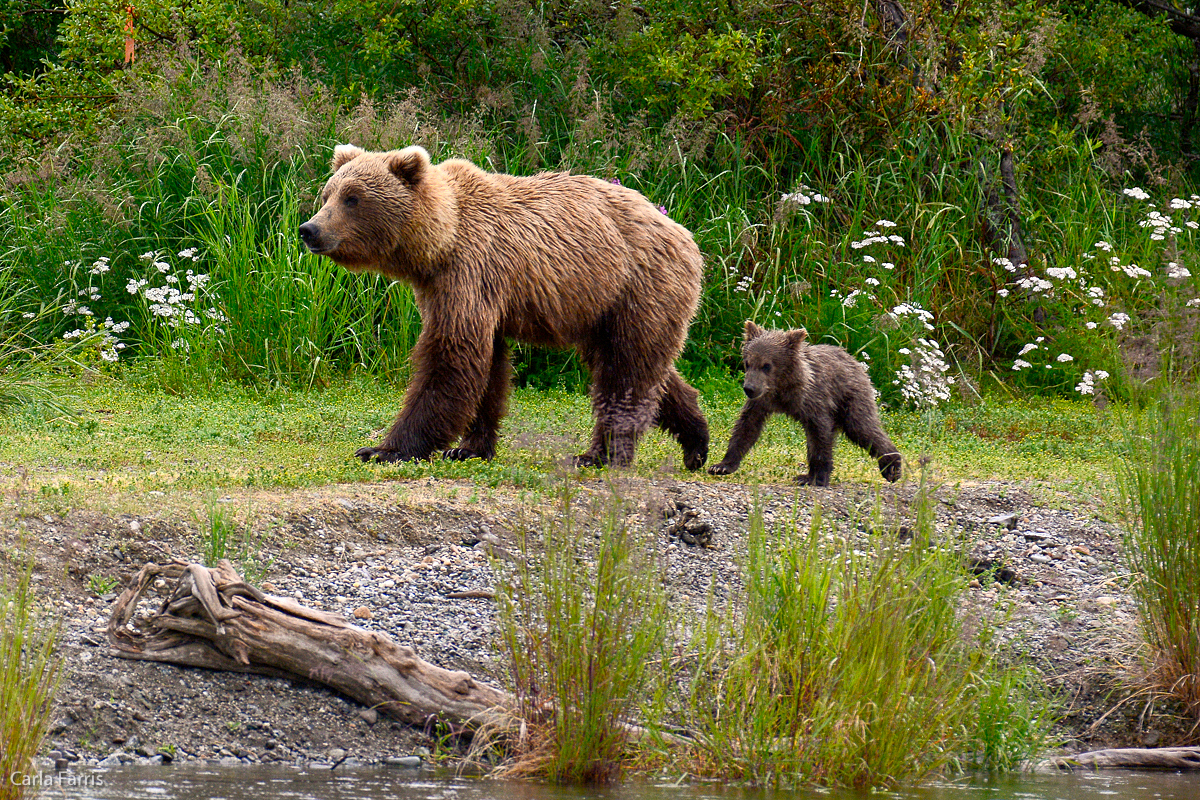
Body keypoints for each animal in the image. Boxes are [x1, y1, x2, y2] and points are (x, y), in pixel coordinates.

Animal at [302, 145, 710, 470]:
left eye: (353, 198)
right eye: (328, 194)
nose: (309, 229)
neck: (440, 242)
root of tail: (683, 233)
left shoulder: (470, 271)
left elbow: (450, 358)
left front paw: (385, 449)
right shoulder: (457, 291)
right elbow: (489, 370)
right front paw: (469, 448)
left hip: (637, 285)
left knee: (626, 369)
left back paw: (599, 455)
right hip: (604, 306)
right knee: (641, 365)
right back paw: (696, 441)